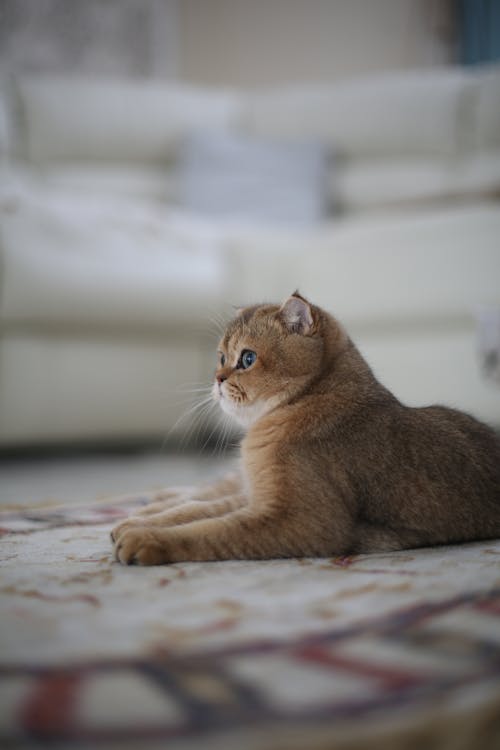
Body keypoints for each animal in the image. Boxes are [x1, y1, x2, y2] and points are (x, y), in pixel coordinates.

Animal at [111, 294, 500, 564]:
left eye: (247, 358)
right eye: (221, 357)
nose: (217, 379)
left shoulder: (303, 520)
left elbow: (214, 529)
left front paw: (148, 538)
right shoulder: (260, 495)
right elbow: (203, 509)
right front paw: (143, 521)